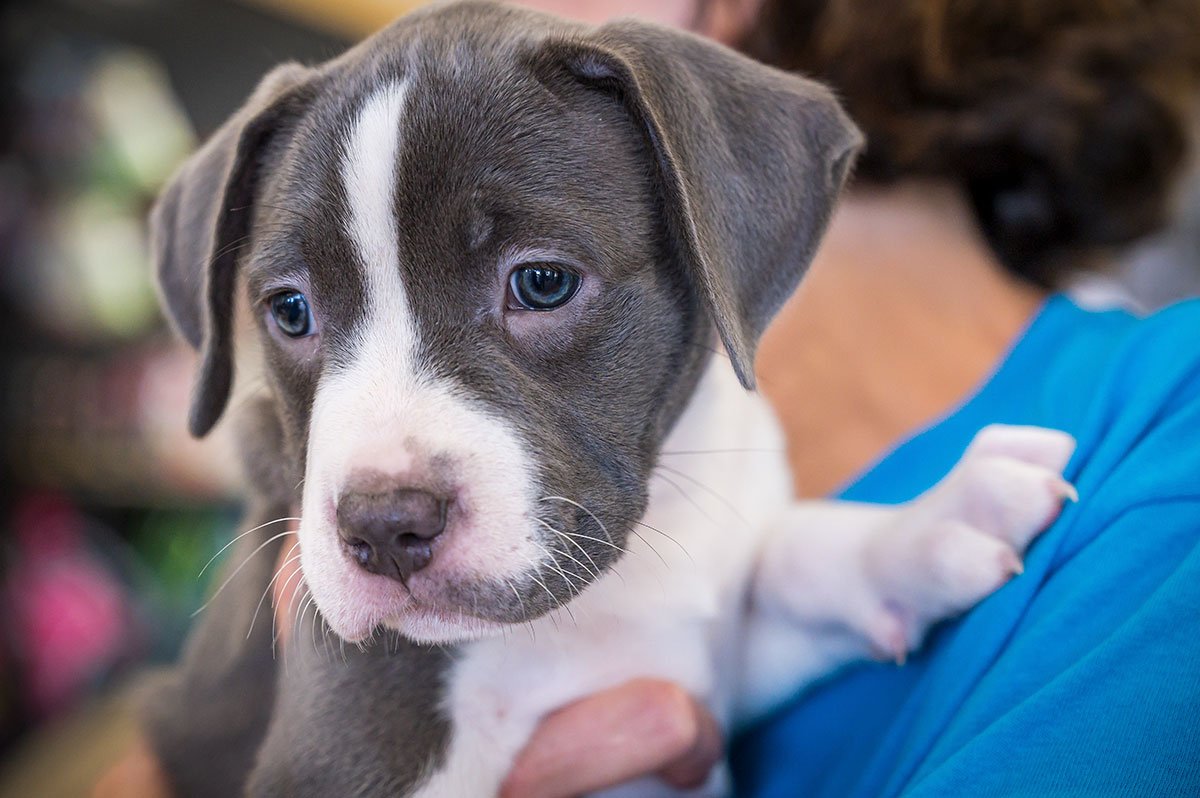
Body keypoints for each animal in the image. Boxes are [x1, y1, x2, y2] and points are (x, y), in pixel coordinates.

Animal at [145, 3, 1075, 792]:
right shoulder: (345, 740)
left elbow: (787, 557)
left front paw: (932, 521)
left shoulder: (701, 664)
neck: (608, 597)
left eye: (543, 282)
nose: (383, 525)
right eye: (290, 312)